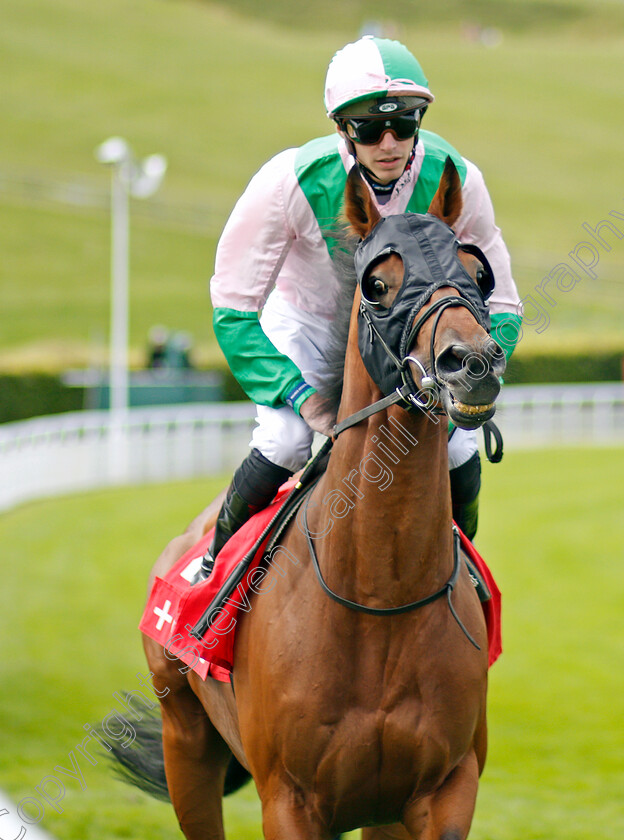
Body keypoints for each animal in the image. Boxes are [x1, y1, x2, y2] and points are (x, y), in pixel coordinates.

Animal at [129, 159, 504, 840]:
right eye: (378, 284)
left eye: (478, 272)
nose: (472, 363)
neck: (379, 598)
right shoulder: (291, 800)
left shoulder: (441, 789)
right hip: (184, 739)